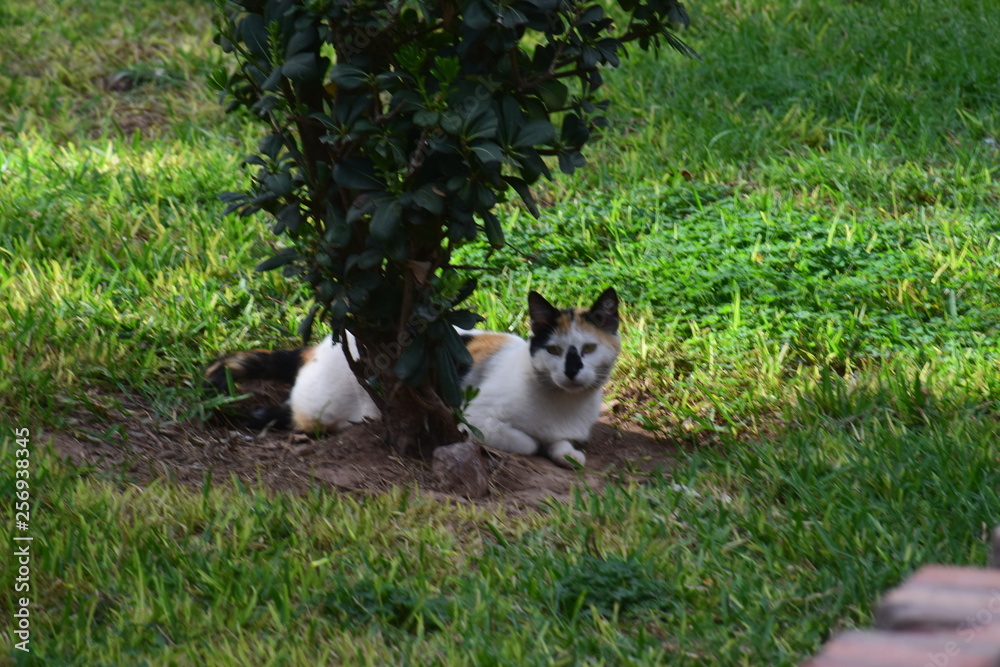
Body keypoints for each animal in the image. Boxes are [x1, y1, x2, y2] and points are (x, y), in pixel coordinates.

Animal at [205, 288, 616, 470]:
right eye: (554, 350)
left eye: (588, 348)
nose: (572, 370)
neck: (562, 404)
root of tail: (320, 346)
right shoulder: (473, 419)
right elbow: (527, 443)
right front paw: (538, 445)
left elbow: (565, 448)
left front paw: (568, 454)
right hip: (323, 409)